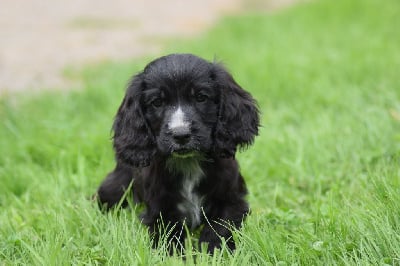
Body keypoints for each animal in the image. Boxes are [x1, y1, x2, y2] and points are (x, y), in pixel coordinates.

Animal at [96, 52, 260, 254]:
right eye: (157, 102)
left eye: (201, 97)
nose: (181, 134)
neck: (188, 163)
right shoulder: (160, 211)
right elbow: (170, 238)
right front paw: (178, 255)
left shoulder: (232, 201)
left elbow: (219, 228)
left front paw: (212, 251)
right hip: (117, 185)